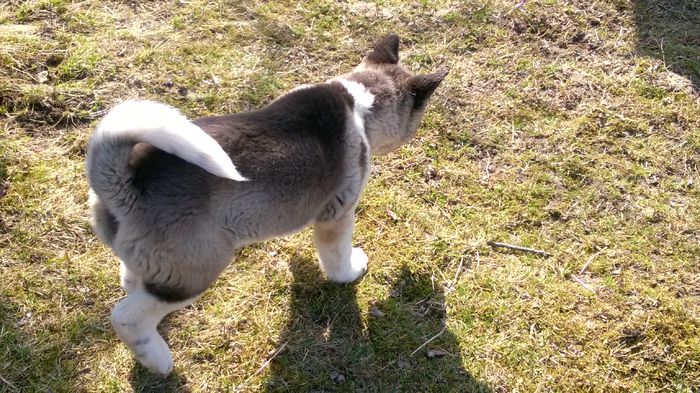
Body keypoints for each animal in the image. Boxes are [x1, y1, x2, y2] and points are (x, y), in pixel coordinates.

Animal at [87, 33, 446, 374]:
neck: (362, 105)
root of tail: (125, 181)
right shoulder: (337, 215)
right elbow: (338, 255)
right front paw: (349, 272)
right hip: (194, 271)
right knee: (127, 317)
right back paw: (158, 360)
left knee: (131, 281)